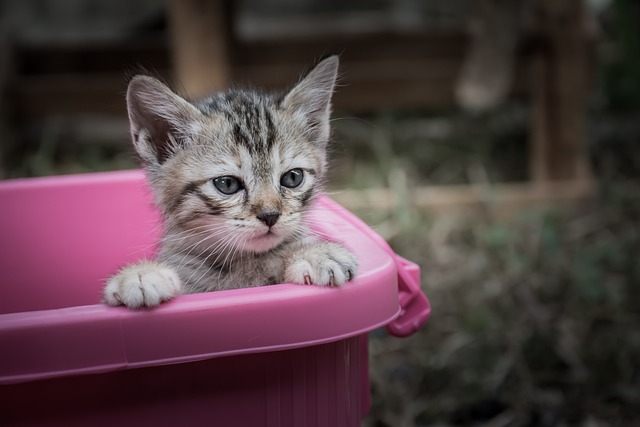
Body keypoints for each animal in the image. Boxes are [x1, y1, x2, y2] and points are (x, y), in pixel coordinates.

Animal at [102, 55, 358, 310]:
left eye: (293, 178)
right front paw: (140, 275)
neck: (244, 262)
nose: (270, 216)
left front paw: (316, 253)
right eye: (227, 184)